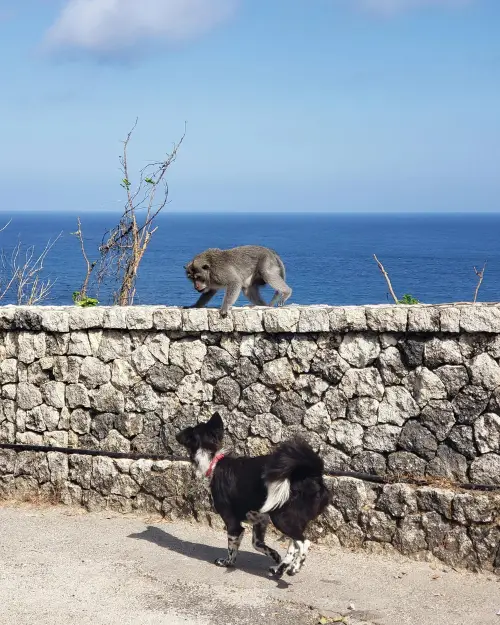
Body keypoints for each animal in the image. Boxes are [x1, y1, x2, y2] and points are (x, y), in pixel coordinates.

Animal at [176, 412, 332, 576]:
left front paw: (227, 563)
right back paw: (282, 567)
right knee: (293, 544)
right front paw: (275, 556)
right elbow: (256, 544)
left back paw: (294, 566)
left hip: (282, 517)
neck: (214, 461)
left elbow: (232, 548)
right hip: (292, 519)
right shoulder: (260, 520)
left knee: (303, 542)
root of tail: (312, 474)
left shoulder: (232, 523)